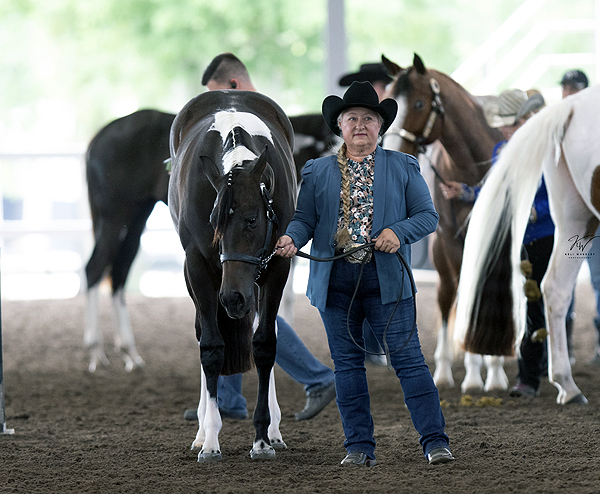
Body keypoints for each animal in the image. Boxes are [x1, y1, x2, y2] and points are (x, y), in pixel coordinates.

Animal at [82, 107, 336, 370]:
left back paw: (128, 351)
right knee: (94, 268)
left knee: (118, 273)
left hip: (136, 219)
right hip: (114, 217)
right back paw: (96, 350)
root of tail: (98, 138)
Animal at [166, 88, 298, 460]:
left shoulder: (278, 265)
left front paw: (262, 438)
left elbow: (266, 344)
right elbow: (211, 347)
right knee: (202, 332)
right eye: (214, 222)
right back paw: (201, 432)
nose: (233, 298)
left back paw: (274, 431)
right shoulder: (197, 265)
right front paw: (211, 440)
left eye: (252, 219)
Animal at [380, 55, 506, 394]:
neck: (473, 169)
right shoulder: (450, 240)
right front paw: (469, 374)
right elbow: (461, 295)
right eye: (388, 101)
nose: (391, 150)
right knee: (448, 295)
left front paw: (490, 372)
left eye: (419, 103)